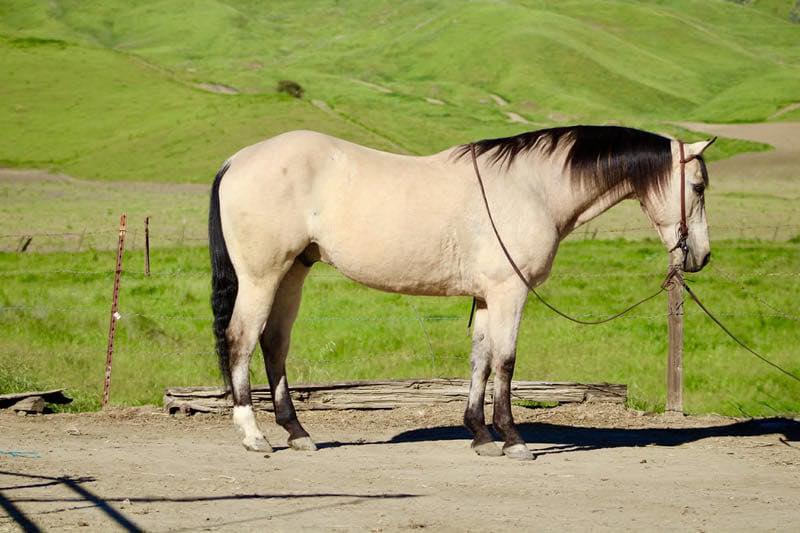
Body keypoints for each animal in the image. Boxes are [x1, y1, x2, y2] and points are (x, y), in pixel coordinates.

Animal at [208, 125, 714, 460]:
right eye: (698, 186)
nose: (702, 256)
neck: (532, 187)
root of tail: (237, 161)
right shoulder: (510, 292)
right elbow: (506, 361)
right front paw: (513, 439)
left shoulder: (489, 296)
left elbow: (480, 360)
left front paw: (481, 435)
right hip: (262, 276)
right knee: (241, 340)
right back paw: (253, 435)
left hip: (292, 273)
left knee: (274, 343)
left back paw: (297, 432)